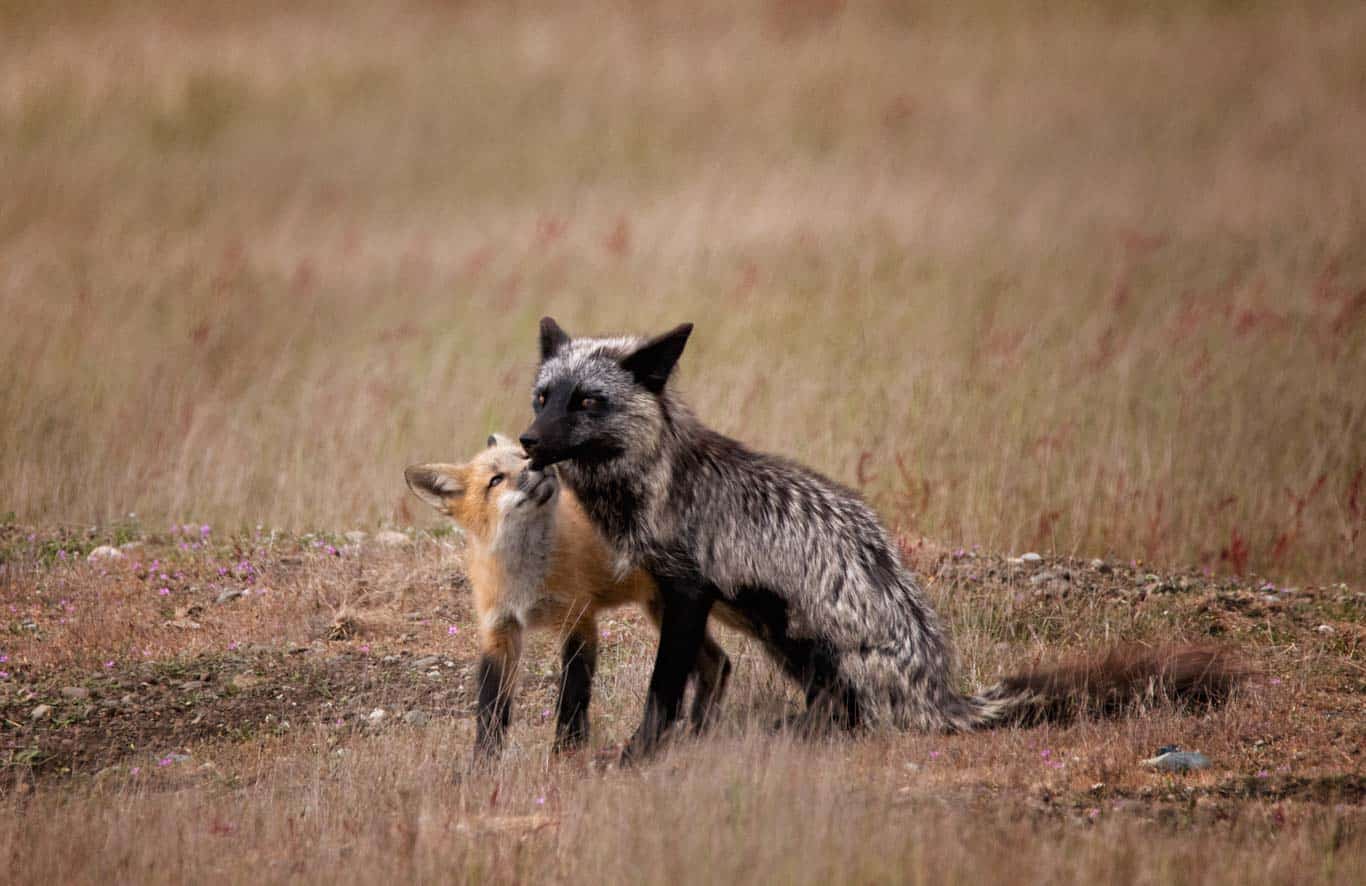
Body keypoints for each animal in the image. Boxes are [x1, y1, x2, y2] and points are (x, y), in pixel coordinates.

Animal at [401, 434, 732, 759]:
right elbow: (490, 707)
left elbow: (572, 696)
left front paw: (566, 751)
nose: (536, 465)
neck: (524, 578)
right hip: (663, 611)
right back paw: (700, 735)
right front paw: (484, 761)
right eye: (496, 480)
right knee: (718, 663)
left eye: (523, 456)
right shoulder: (499, 630)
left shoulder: (578, 619)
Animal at [516, 318, 1245, 759]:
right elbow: (706, 679)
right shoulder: (669, 594)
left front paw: (639, 755)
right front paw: (688, 744)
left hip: (803, 633)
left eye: (588, 402)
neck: (649, 480)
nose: (526, 442)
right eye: (544, 397)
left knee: (850, 715)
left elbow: (664, 689)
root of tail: (941, 692)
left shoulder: (689, 591)